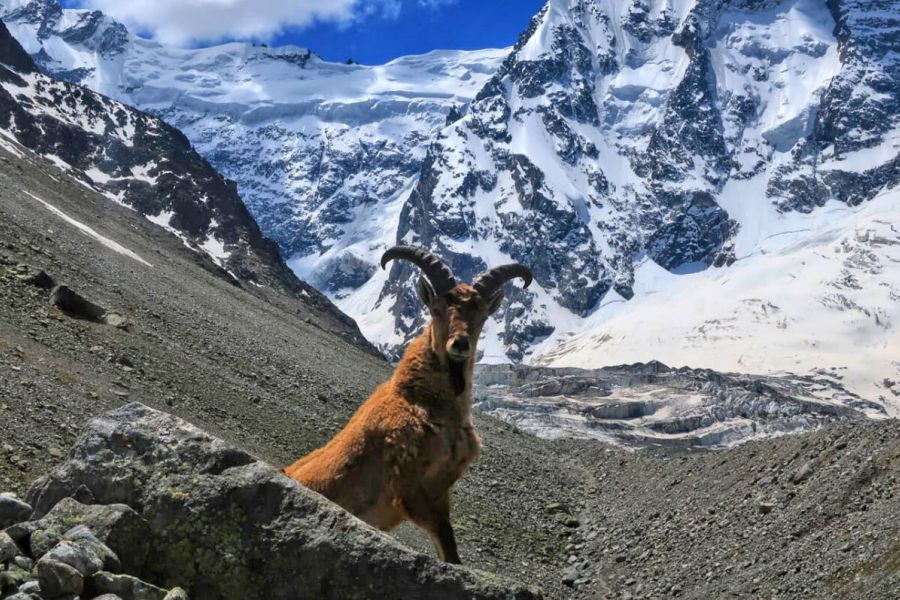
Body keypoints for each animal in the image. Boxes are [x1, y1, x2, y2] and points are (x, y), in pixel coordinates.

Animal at [284, 244, 532, 564]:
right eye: (437, 309)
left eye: (481, 315)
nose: (460, 344)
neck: (421, 400)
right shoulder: (410, 490)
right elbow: (447, 546)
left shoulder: (439, 491)